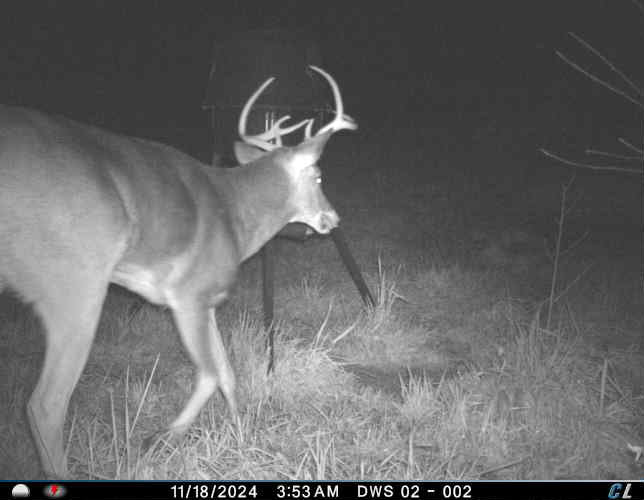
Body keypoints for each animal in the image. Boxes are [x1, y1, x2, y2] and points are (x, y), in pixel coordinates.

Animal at [0, 65, 357, 478]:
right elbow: (210, 374)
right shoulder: (188, 294)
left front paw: (241, 435)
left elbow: (228, 373)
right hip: (73, 281)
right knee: (45, 404)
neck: (237, 217)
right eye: (318, 177)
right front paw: (160, 439)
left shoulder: (208, 300)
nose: (334, 217)